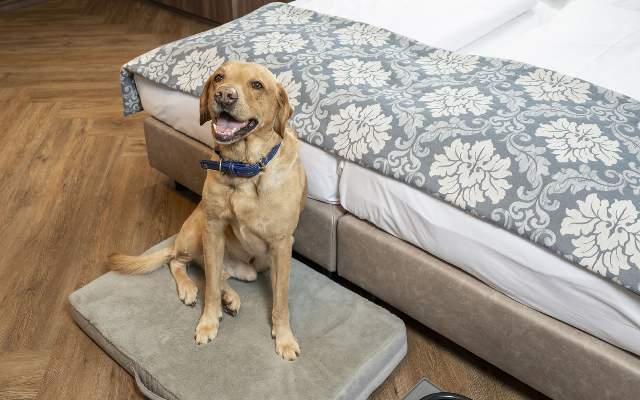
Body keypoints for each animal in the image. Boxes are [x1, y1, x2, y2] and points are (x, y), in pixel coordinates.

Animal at [109, 61, 308, 360]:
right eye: (219, 78)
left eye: (257, 85)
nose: (224, 95)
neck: (244, 168)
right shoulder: (213, 229)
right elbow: (210, 289)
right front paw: (208, 323)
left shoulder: (282, 244)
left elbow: (280, 300)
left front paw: (284, 338)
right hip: (196, 231)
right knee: (181, 262)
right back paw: (192, 289)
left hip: (253, 266)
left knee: (215, 272)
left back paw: (230, 296)